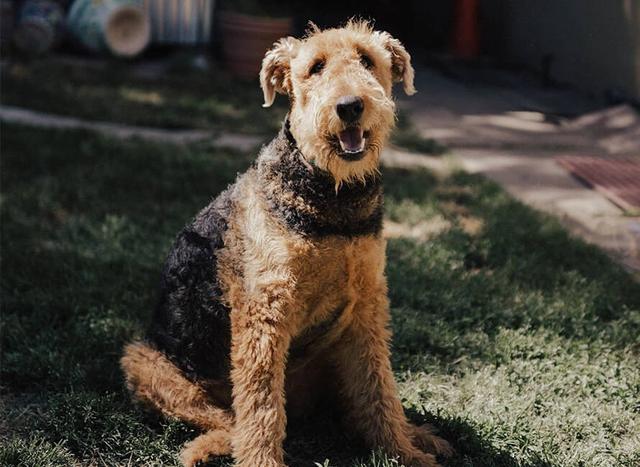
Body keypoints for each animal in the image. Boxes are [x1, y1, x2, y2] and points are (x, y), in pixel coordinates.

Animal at [119, 19, 450, 467]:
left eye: (367, 59)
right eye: (315, 67)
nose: (349, 106)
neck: (332, 196)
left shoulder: (367, 304)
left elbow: (379, 387)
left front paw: (401, 452)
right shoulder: (265, 310)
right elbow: (262, 407)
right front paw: (262, 460)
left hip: (330, 350)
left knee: (352, 406)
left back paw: (420, 436)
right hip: (148, 363)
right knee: (228, 420)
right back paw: (211, 447)